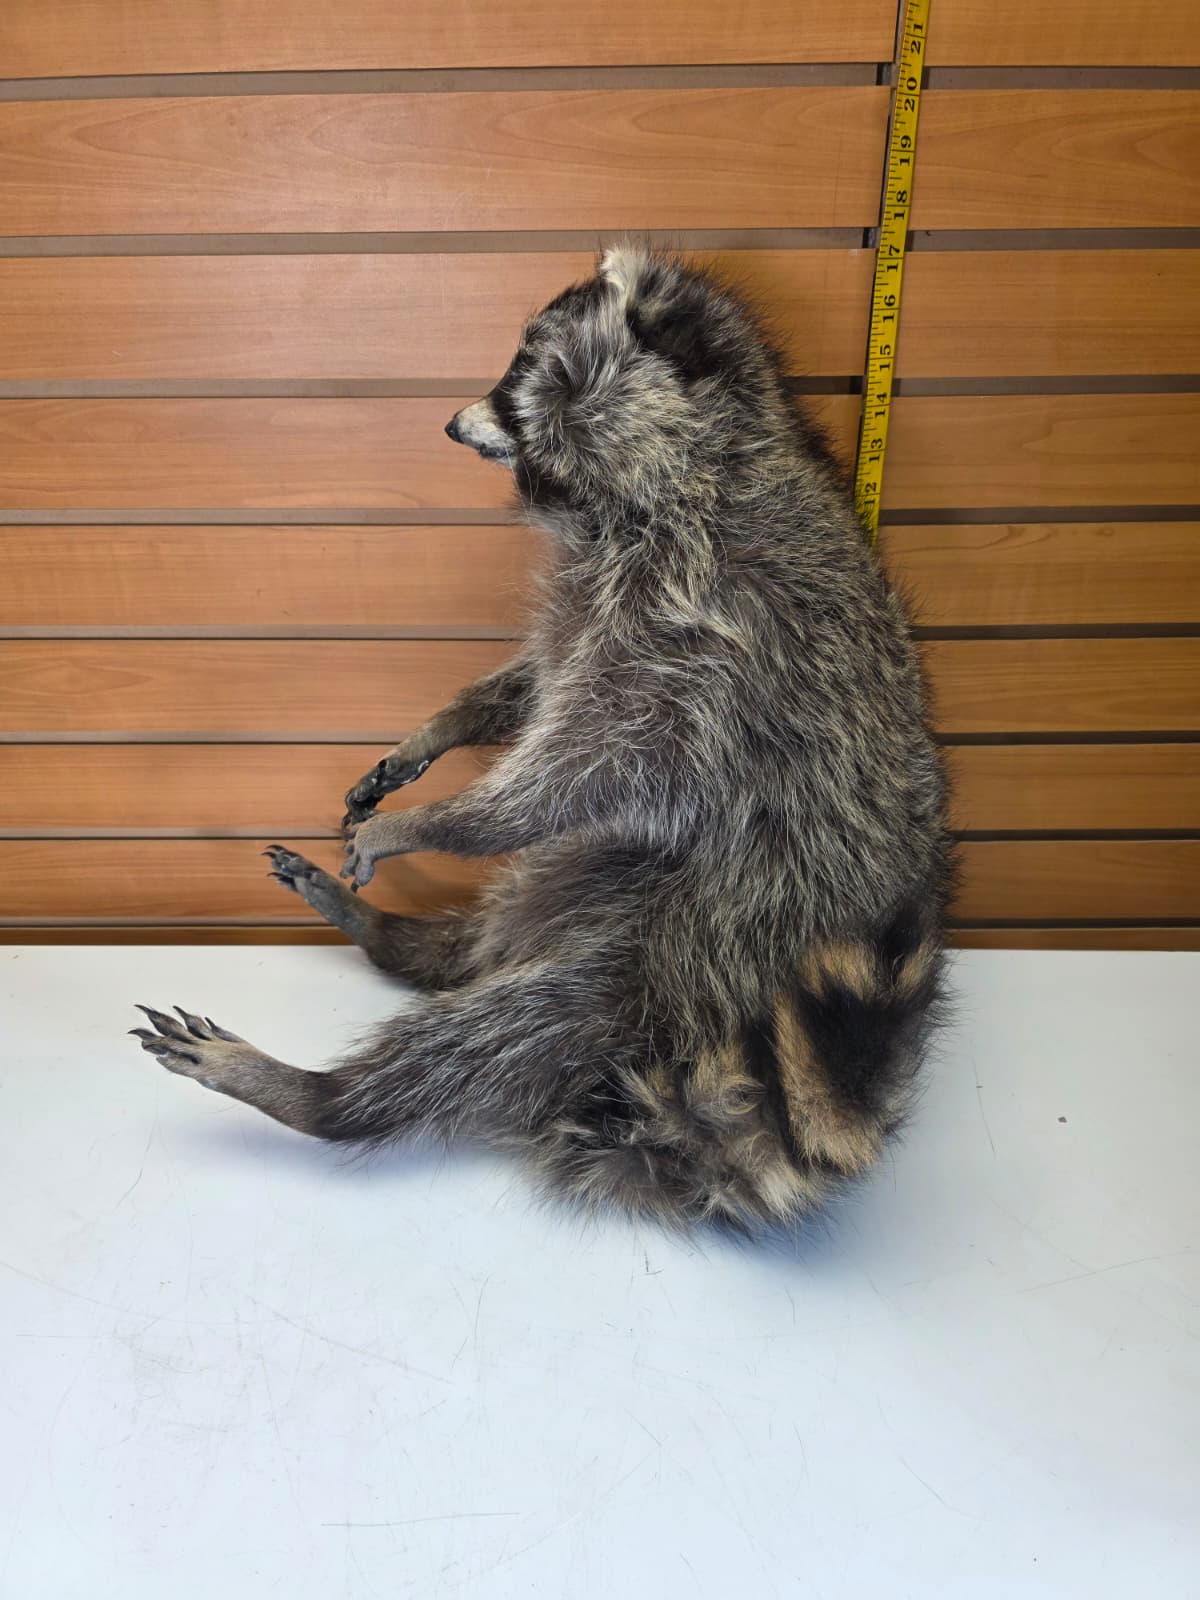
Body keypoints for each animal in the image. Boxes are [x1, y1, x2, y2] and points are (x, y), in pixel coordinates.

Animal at [132, 246, 952, 1233]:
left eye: (521, 371)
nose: (449, 423)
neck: (695, 460)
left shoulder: (708, 627)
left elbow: (591, 766)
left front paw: (440, 821)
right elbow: (539, 684)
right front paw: (444, 728)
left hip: (708, 938)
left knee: (530, 1019)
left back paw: (323, 1093)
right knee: (501, 932)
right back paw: (405, 942)